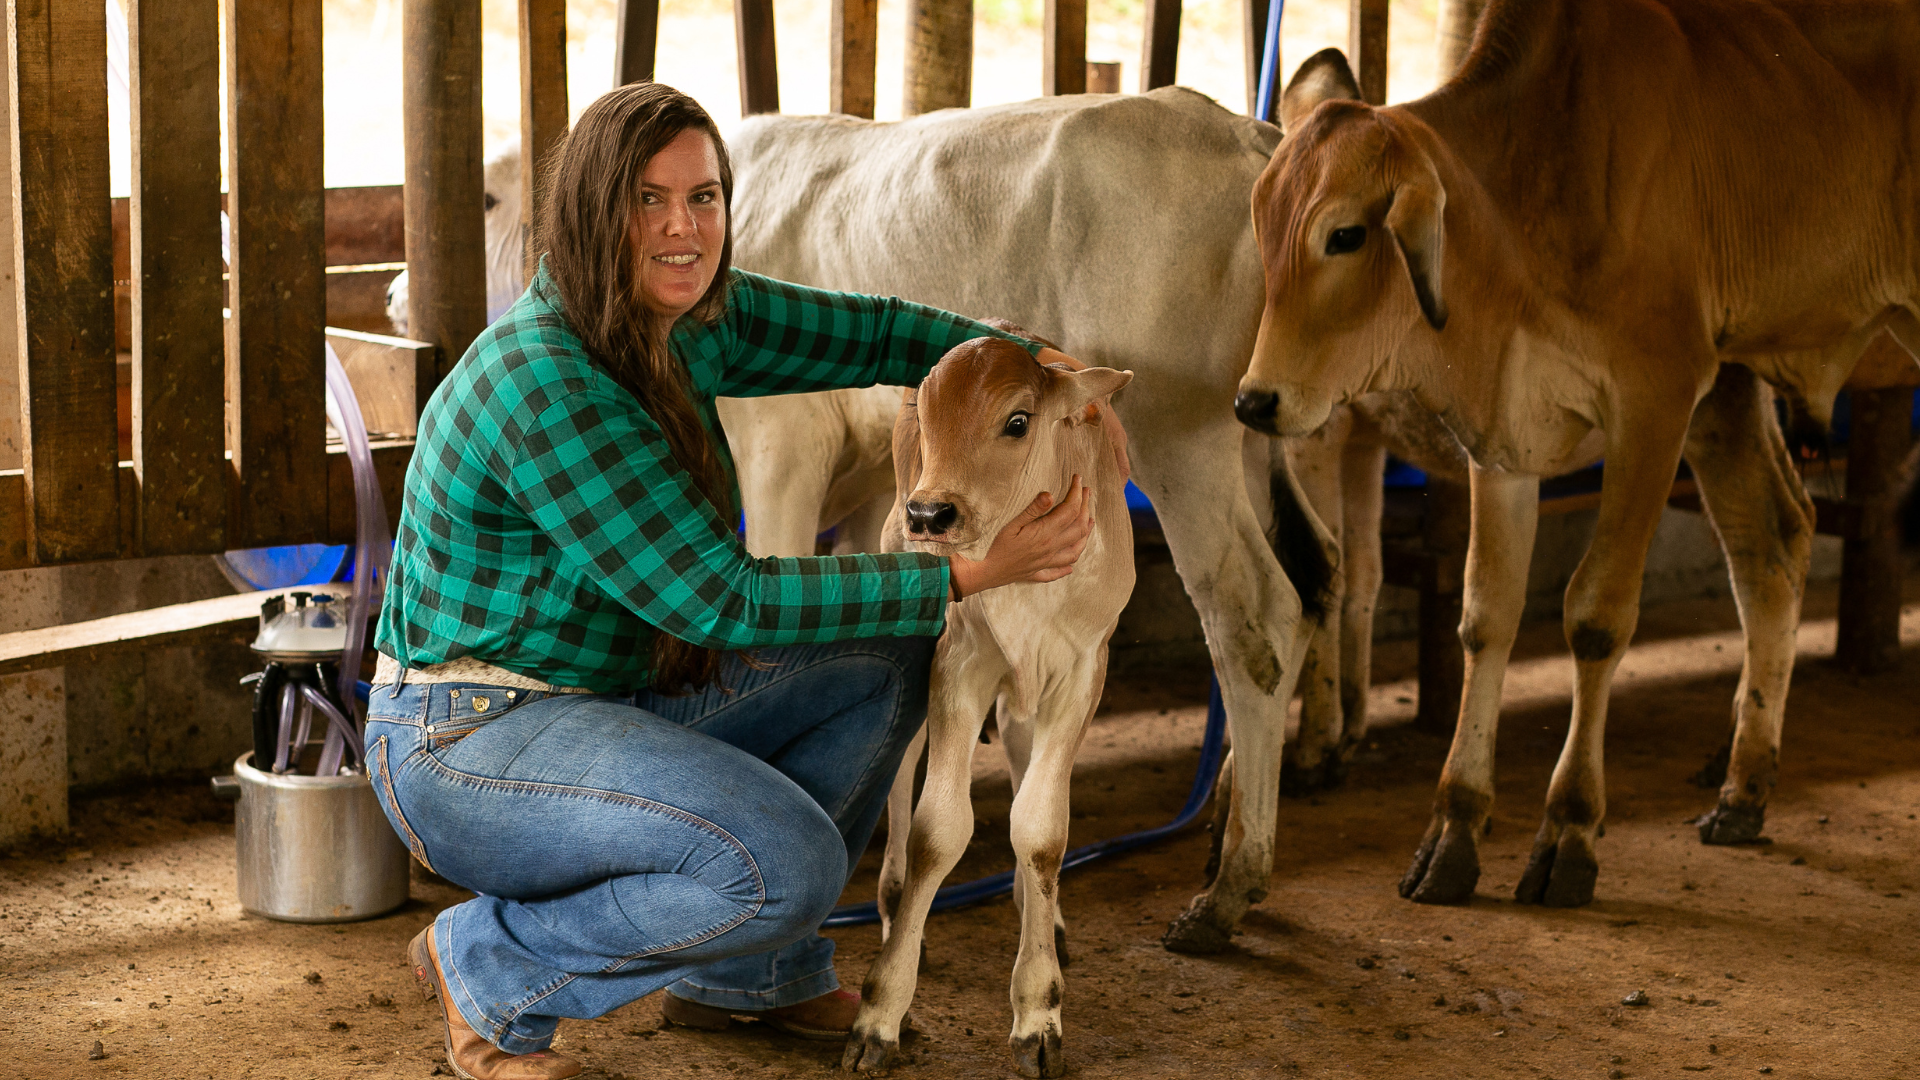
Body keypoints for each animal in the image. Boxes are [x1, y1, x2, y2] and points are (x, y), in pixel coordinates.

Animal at [1228, 2, 1920, 907]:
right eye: (1260, 227)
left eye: (1344, 235)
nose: (1254, 401)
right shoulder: (1505, 433)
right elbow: (1486, 615)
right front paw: (1453, 828)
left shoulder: (1655, 400)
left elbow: (1595, 616)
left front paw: (1569, 832)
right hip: (1731, 396)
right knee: (1770, 543)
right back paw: (1742, 790)